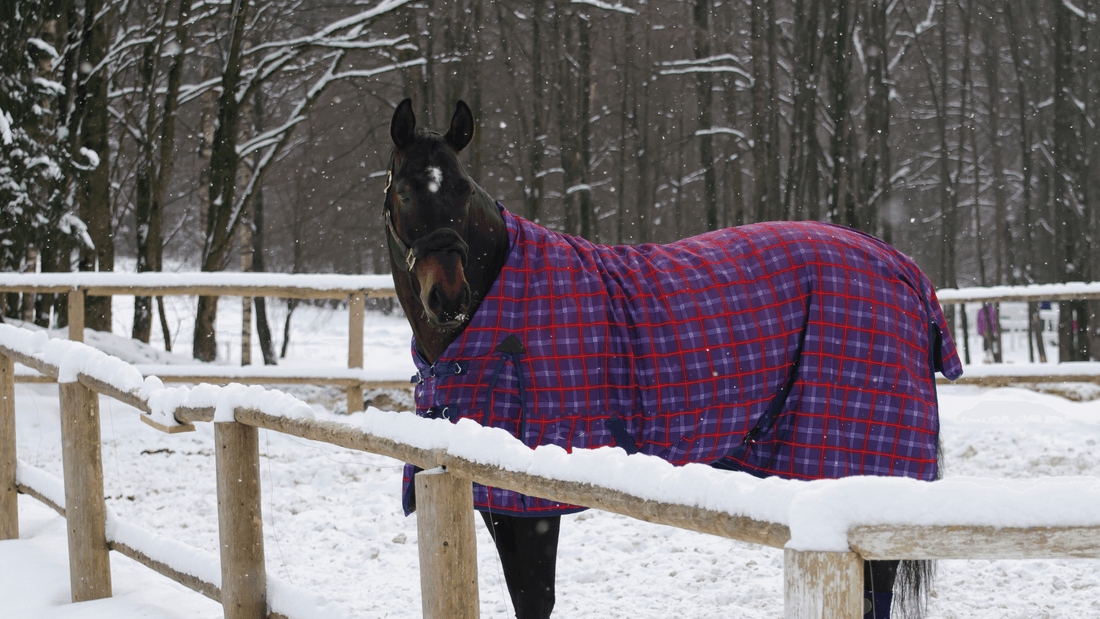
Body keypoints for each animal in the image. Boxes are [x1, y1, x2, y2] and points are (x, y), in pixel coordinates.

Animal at [383, 98, 963, 619]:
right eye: (407, 190)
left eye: (462, 188)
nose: (448, 297)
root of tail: (903, 268)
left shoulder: (527, 501)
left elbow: (533, 601)